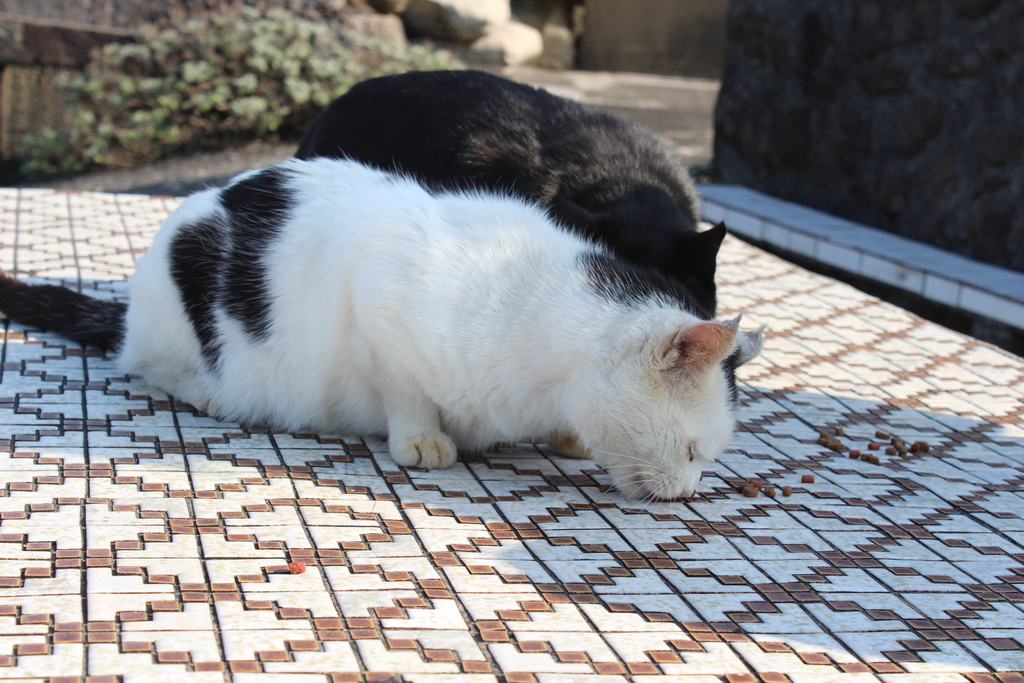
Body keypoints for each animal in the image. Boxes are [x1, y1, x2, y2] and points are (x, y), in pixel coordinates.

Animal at [0, 160, 761, 501]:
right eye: (693, 449)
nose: (689, 493)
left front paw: (567, 437)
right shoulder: (376, 310)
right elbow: (406, 390)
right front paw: (423, 439)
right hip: (173, 310)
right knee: (145, 362)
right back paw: (207, 392)